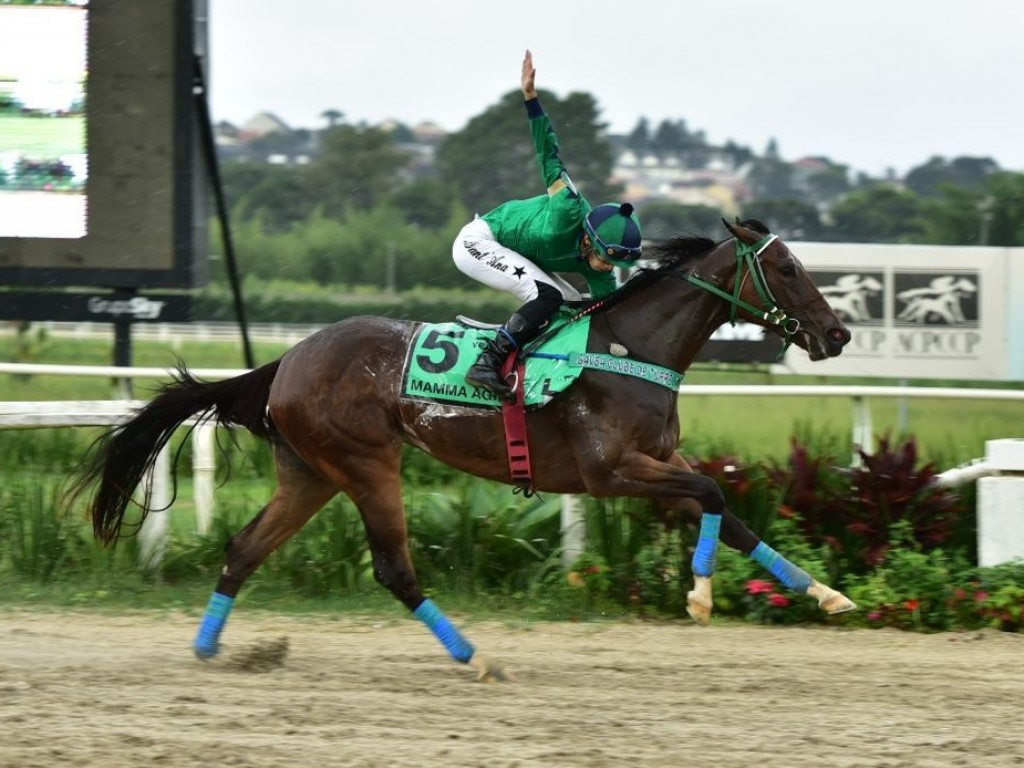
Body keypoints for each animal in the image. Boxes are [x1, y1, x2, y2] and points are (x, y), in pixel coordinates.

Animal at [66, 219, 856, 684]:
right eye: (788, 269)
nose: (838, 334)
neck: (631, 348)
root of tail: (286, 361)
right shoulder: (610, 473)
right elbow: (717, 495)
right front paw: (698, 595)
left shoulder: (662, 465)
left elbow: (734, 515)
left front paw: (826, 593)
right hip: (366, 463)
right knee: (392, 567)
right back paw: (473, 656)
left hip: (310, 474)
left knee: (244, 548)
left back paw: (209, 649)